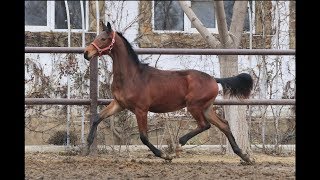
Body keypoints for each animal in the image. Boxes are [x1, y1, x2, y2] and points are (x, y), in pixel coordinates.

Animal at [84, 20, 254, 163]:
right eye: (97, 37)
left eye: (103, 39)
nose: (86, 53)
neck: (131, 76)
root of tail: (214, 79)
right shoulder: (119, 104)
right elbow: (97, 118)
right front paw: (87, 145)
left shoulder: (141, 109)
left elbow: (143, 137)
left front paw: (165, 155)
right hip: (206, 108)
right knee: (224, 125)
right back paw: (244, 156)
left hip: (194, 106)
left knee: (205, 125)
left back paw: (180, 142)